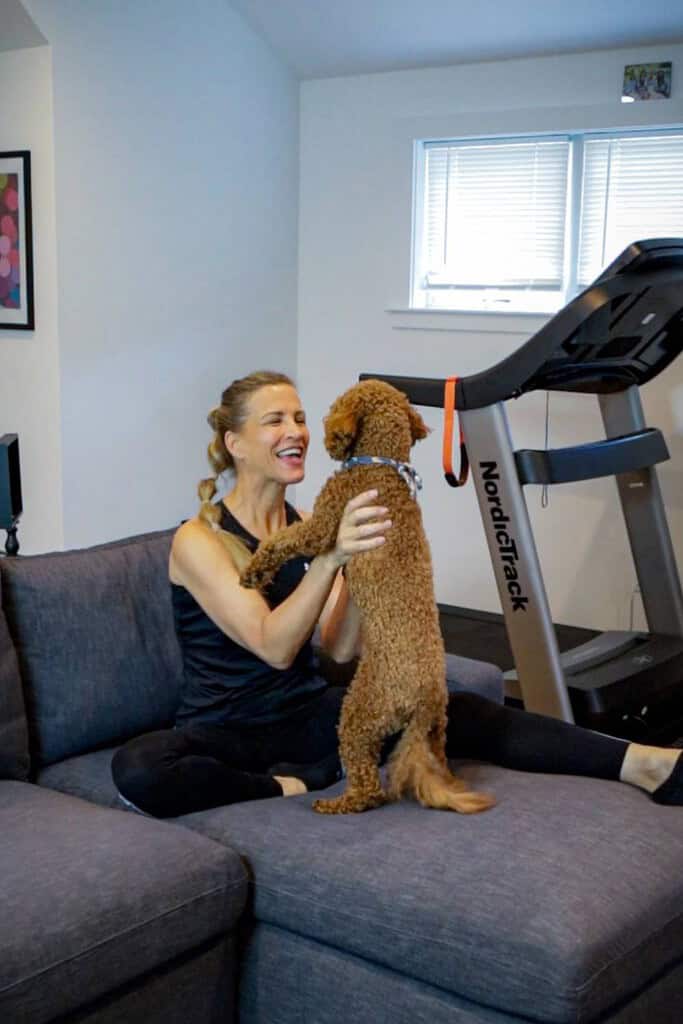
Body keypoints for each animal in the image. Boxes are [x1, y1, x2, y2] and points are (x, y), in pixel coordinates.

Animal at [240, 376, 497, 815]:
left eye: (333, 408)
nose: (321, 432)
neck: (381, 462)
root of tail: (424, 700)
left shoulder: (325, 521)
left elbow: (284, 539)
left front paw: (255, 569)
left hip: (359, 712)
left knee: (367, 786)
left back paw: (339, 803)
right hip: (436, 730)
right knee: (435, 762)